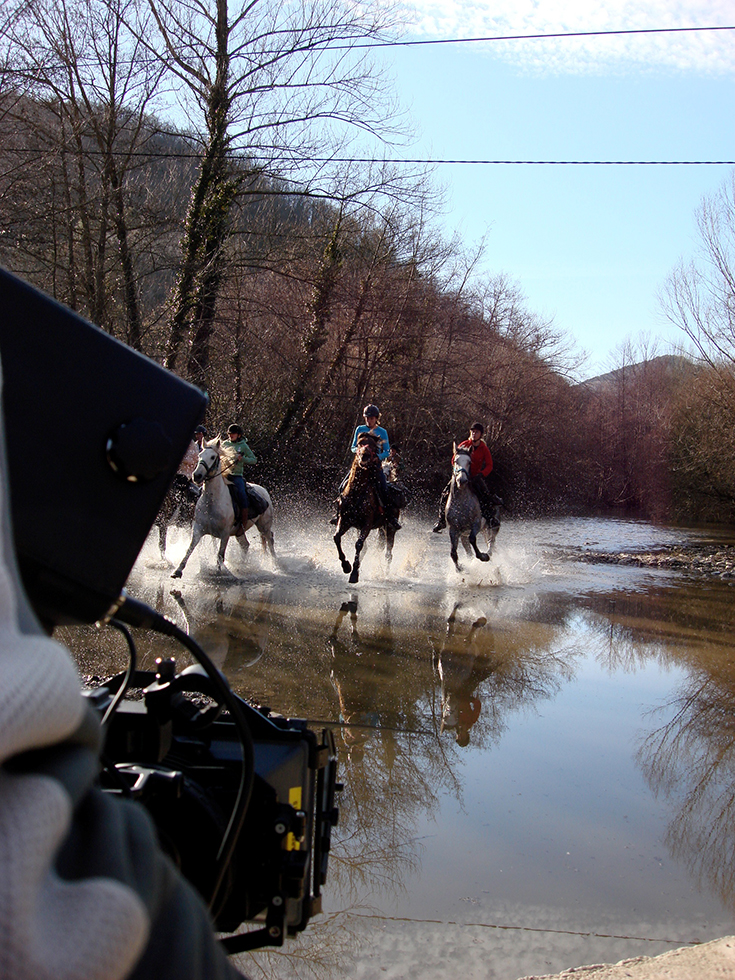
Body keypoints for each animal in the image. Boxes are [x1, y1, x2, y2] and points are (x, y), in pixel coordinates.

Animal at [172, 440, 276, 580]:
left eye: (212, 457)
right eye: (200, 455)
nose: (197, 475)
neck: (212, 502)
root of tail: (264, 491)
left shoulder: (225, 533)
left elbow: (220, 554)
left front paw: (220, 572)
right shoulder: (198, 529)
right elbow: (190, 548)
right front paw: (178, 570)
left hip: (263, 525)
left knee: (270, 540)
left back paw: (275, 565)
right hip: (239, 531)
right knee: (245, 545)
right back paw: (242, 566)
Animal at [334, 440, 402, 584]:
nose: (364, 458)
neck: (356, 493)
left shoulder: (367, 524)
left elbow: (359, 545)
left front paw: (354, 573)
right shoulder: (345, 520)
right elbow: (337, 538)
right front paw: (346, 566)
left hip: (390, 528)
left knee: (388, 553)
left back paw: (385, 574)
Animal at [442, 446, 500, 576]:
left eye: (469, 462)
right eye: (456, 461)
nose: (462, 480)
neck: (461, 503)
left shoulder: (476, 523)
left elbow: (473, 539)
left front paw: (483, 556)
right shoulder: (454, 529)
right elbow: (453, 552)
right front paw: (460, 568)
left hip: (491, 526)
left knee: (491, 542)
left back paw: (488, 554)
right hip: (466, 534)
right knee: (469, 549)